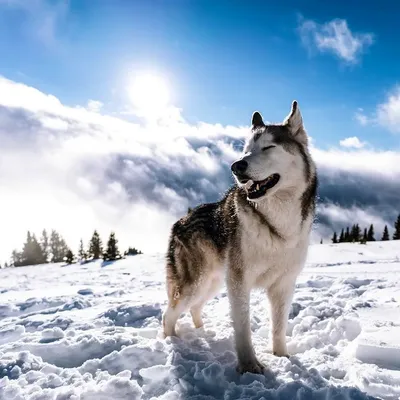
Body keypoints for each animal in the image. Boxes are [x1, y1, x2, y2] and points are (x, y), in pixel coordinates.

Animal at [161, 101, 318, 376]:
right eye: (246, 150)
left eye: (268, 147)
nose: (236, 166)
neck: (277, 226)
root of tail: (179, 221)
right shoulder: (239, 282)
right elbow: (243, 328)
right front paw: (249, 367)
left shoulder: (284, 285)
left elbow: (279, 328)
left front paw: (282, 357)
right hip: (194, 285)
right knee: (168, 314)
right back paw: (173, 342)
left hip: (211, 283)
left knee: (194, 307)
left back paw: (202, 331)